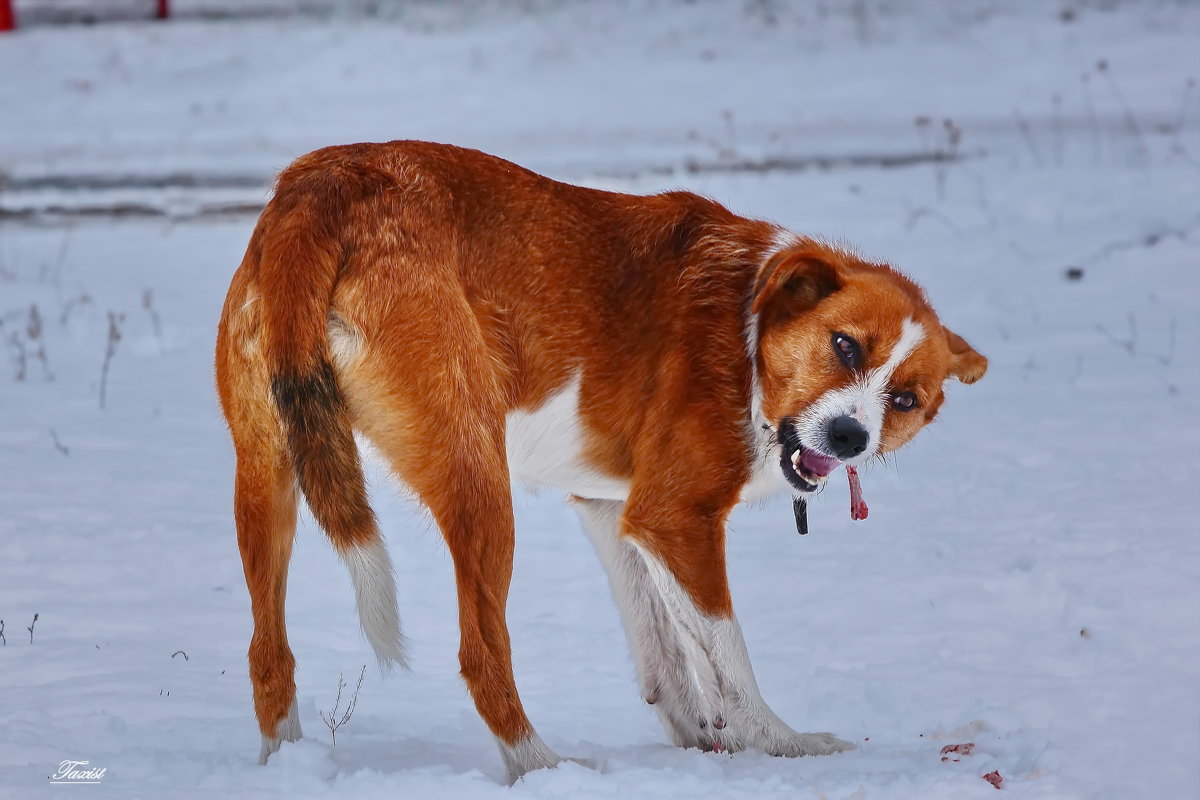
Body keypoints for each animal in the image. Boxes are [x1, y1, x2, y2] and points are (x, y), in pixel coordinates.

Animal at [216, 139, 984, 782]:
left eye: (906, 399)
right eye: (845, 345)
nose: (852, 437)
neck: (750, 326)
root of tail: (324, 187)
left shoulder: (618, 511)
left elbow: (671, 651)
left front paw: (709, 739)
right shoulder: (677, 520)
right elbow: (729, 655)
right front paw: (782, 745)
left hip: (267, 473)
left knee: (266, 655)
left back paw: (285, 767)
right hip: (480, 482)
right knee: (481, 655)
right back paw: (543, 767)